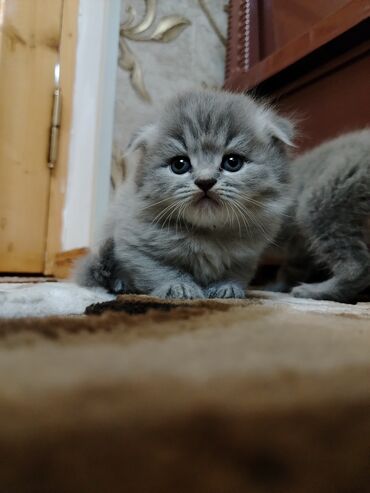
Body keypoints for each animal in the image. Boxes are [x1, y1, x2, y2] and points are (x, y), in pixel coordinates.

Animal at [75, 89, 294, 300]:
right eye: (179, 165)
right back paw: (121, 285)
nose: (205, 181)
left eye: (233, 162)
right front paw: (178, 287)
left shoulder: (246, 257)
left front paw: (226, 288)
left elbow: (234, 275)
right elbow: (162, 271)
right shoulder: (135, 246)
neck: (209, 232)